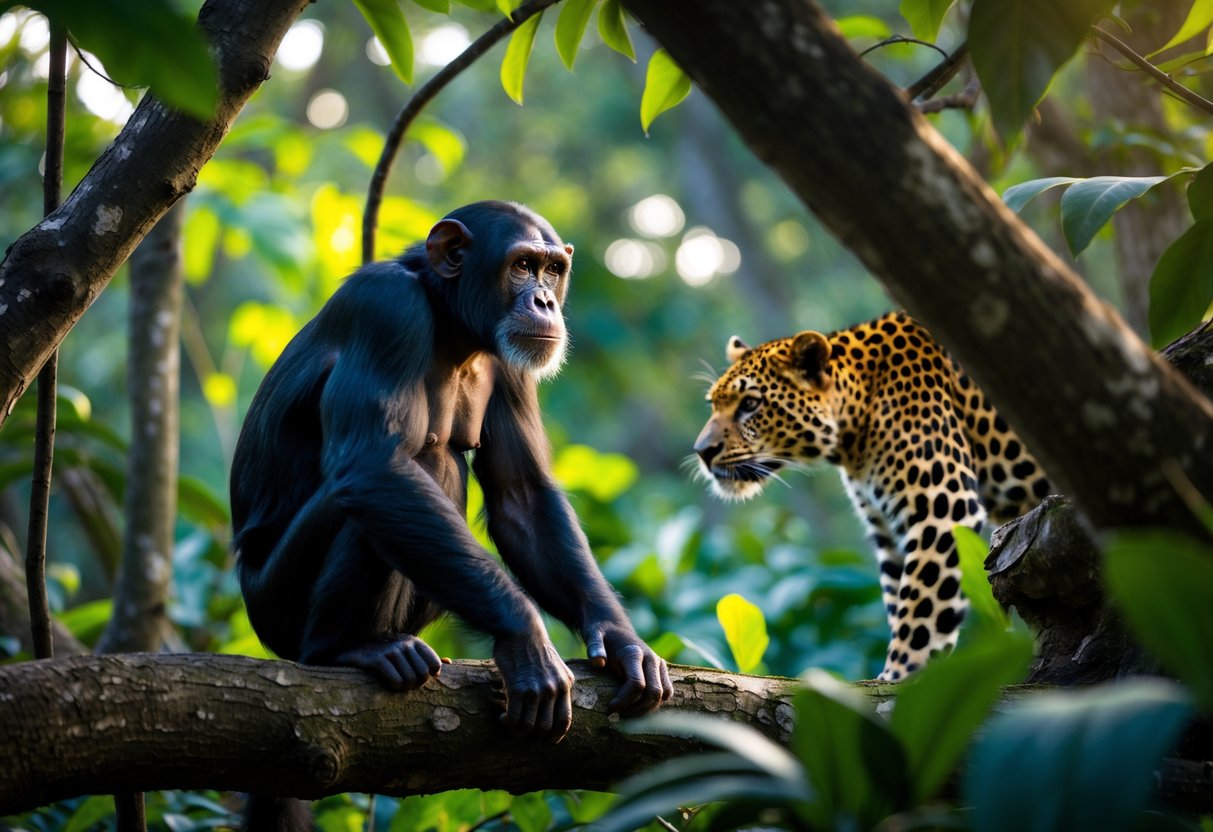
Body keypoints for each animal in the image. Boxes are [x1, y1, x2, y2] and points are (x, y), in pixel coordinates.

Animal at [693, 311, 1050, 681]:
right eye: (713, 404)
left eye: (750, 404)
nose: (702, 451)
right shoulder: (888, 528)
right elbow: (901, 599)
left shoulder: (944, 507)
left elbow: (921, 606)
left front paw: (903, 675)